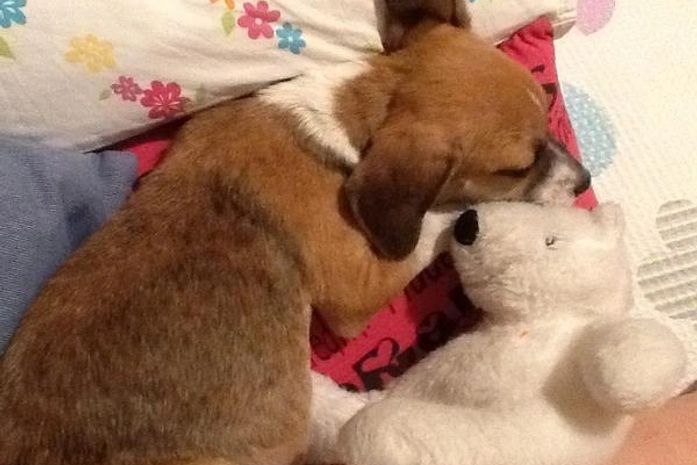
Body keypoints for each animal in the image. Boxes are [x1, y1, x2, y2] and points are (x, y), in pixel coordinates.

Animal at [0, 1, 590, 464]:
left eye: (547, 108)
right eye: (516, 168)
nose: (585, 182)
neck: (350, 121)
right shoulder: (356, 294)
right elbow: (436, 222)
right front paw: (466, 213)